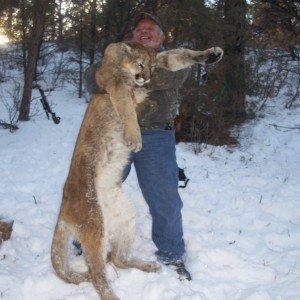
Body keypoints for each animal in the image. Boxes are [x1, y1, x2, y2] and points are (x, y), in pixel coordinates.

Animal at [50, 40, 223, 300]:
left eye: (151, 66)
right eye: (141, 65)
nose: (147, 78)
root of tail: (62, 208)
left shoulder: (161, 62)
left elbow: (180, 55)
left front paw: (211, 55)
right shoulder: (112, 80)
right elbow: (126, 108)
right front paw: (134, 137)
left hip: (124, 217)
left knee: (116, 258)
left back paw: (148, 265)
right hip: (94, 225)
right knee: (97, 274)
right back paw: (114, 294)